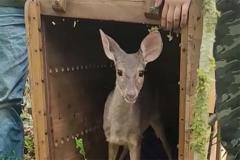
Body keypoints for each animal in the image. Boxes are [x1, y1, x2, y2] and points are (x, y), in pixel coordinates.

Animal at [99, 29, 172, 160]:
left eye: (141, 73)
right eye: (119, 71)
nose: (131, 94)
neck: (119, 129)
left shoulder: (136, 139)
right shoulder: (110, 139)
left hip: (156, 115)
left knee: (165, 143)